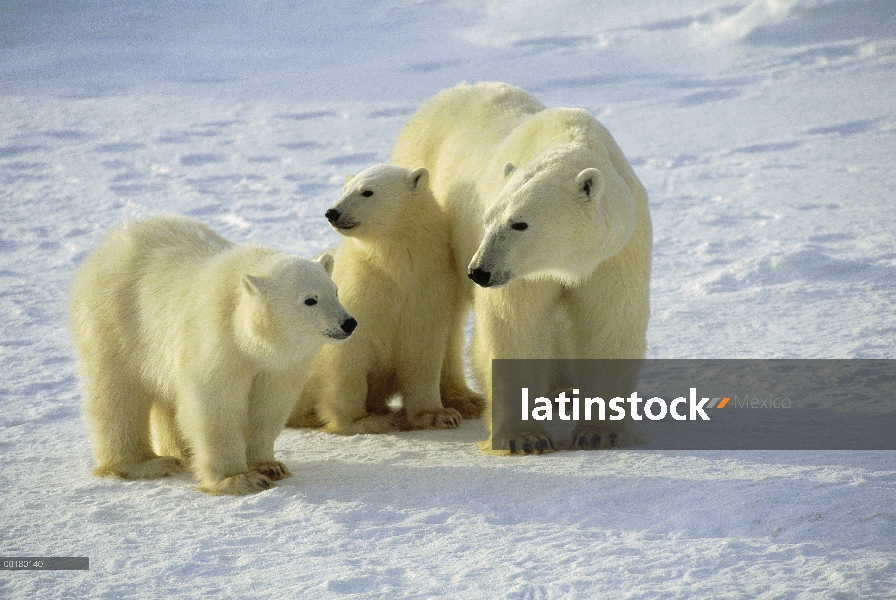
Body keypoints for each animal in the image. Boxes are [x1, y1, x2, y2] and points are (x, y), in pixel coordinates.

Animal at [392, 82, 652, 452]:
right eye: (488, 219)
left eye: (519, 224)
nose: (480, 272)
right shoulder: (520, 272)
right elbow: (513, 324)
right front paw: (524, 438)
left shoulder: (615, 254)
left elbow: (610, 322)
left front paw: (600, 432)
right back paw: (459, 398)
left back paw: (563, 391)